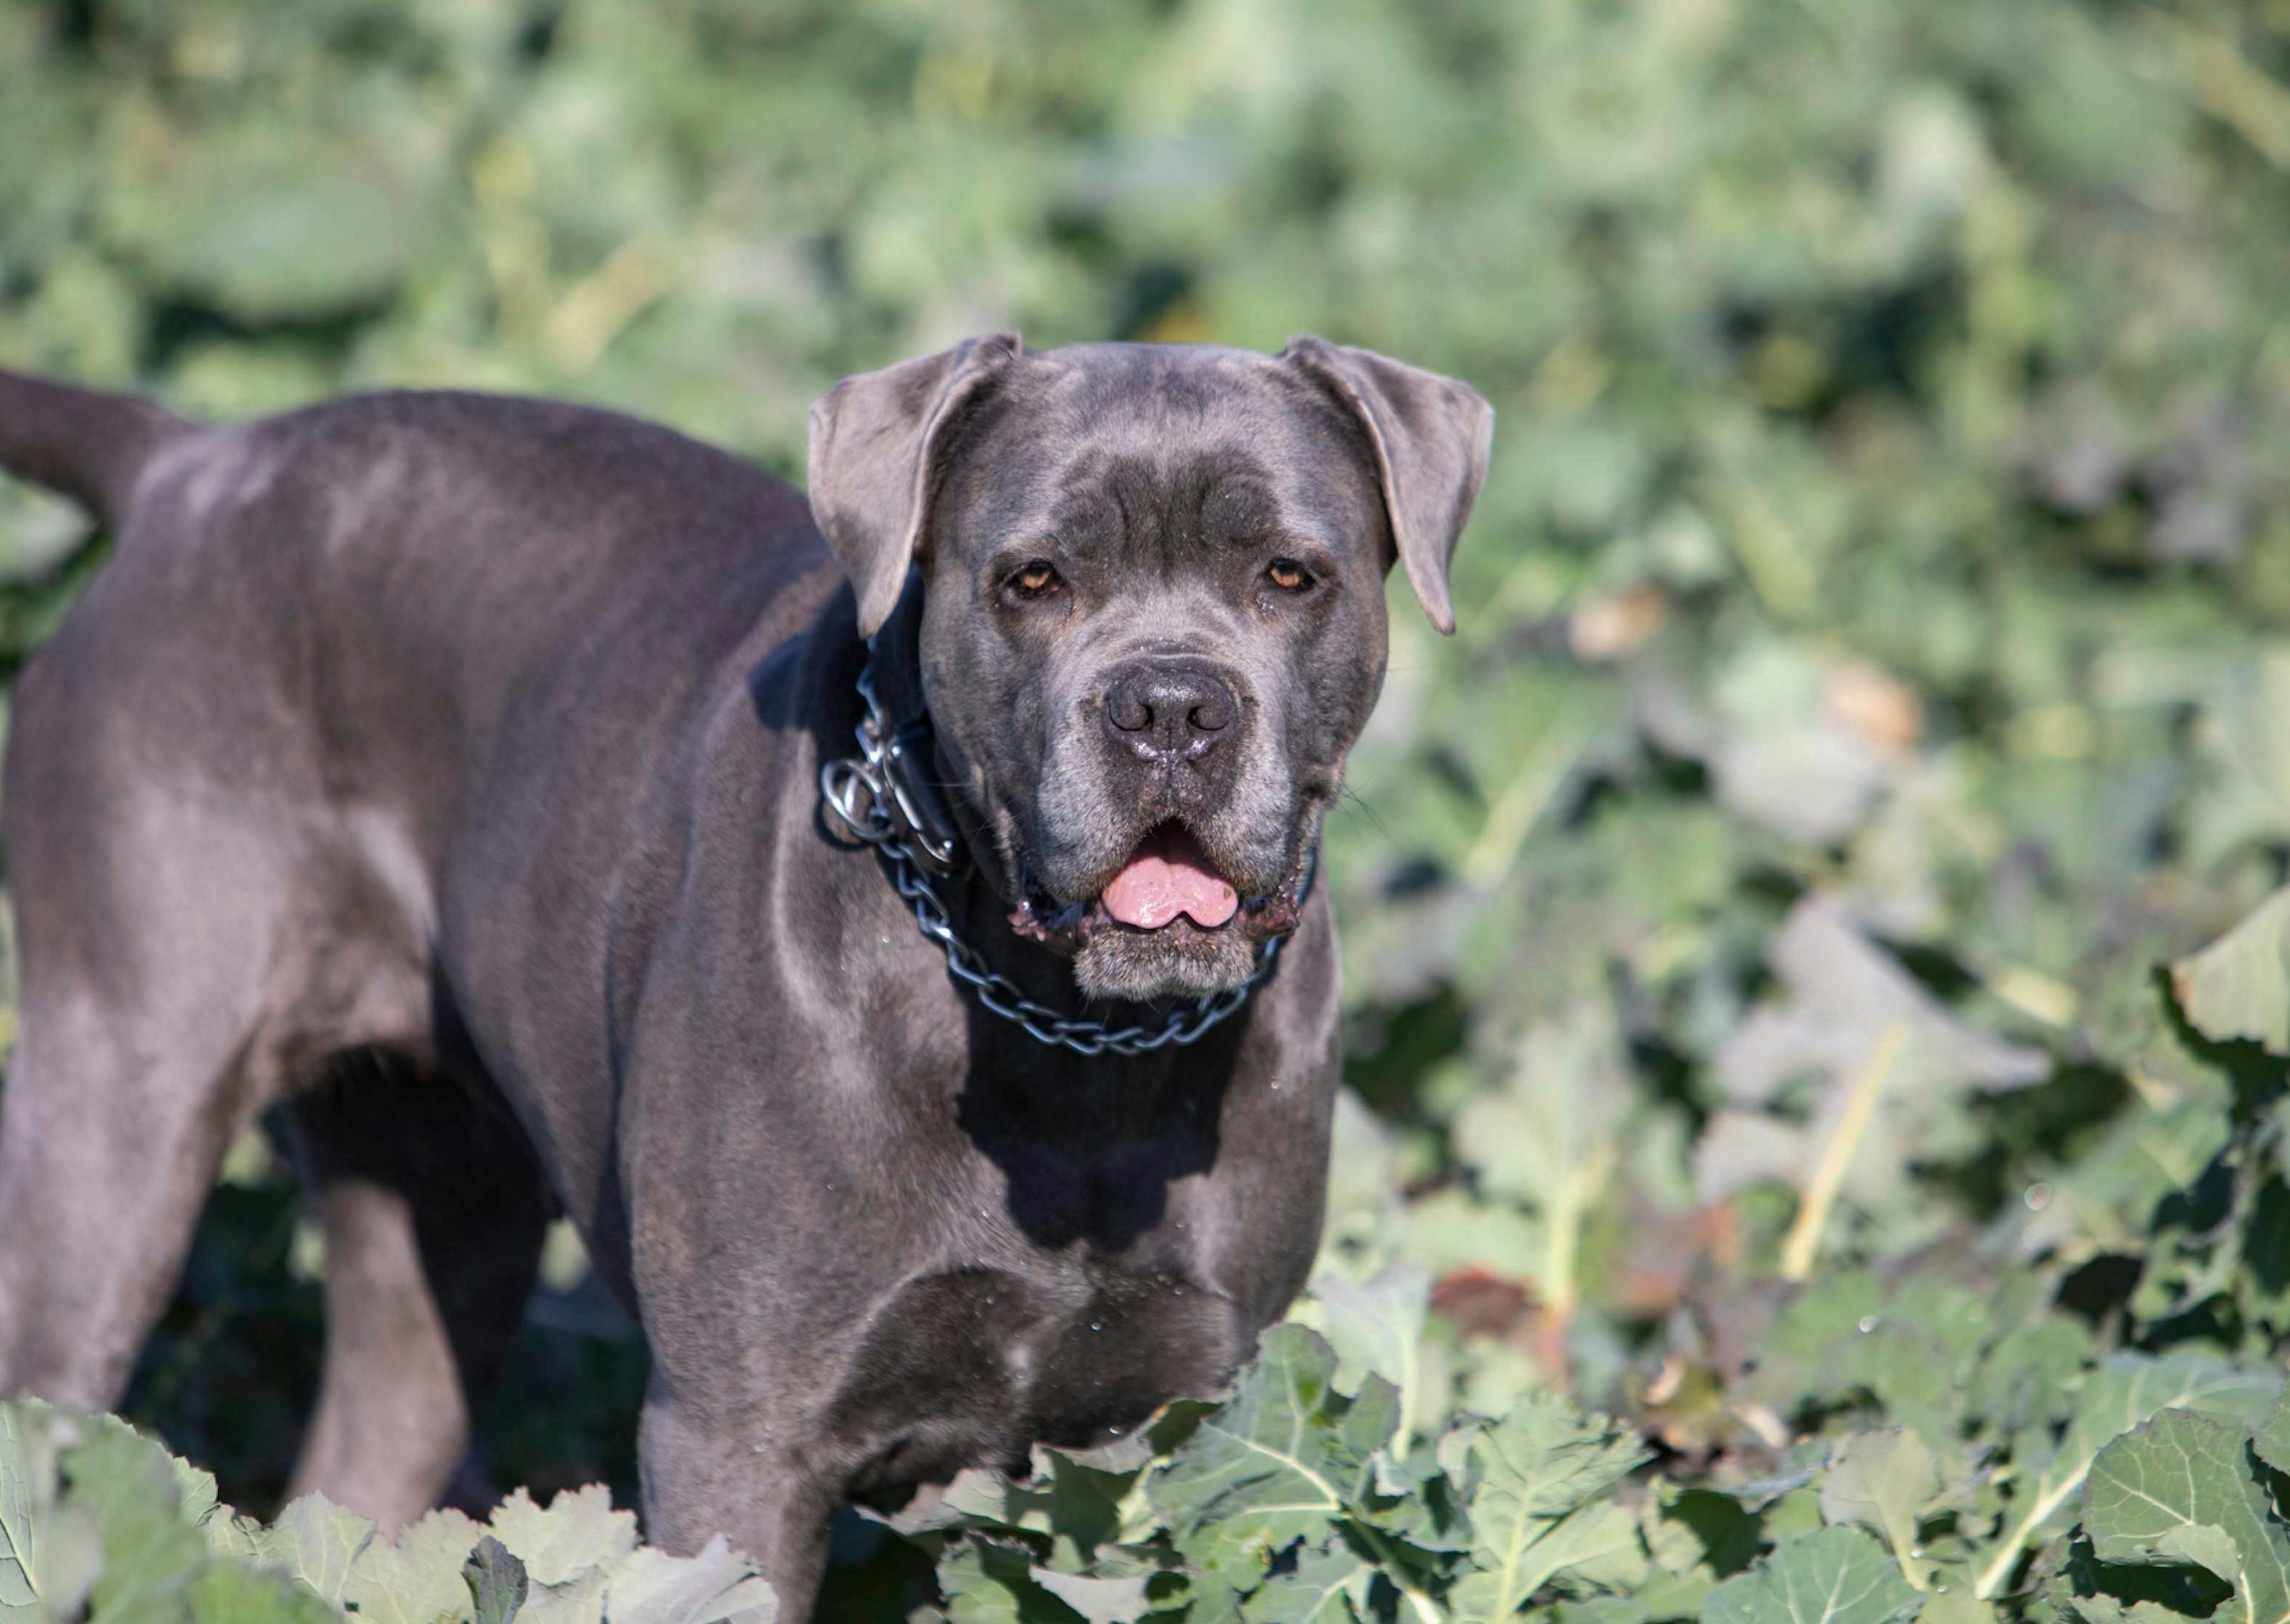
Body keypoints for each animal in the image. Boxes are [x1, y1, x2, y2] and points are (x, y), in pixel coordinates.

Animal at [0, 336, 1493, 1612]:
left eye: (1291, 576)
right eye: (1034, 580)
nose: (1173, 704)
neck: (1066, 1042)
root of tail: (190, 463)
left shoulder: (1174, 1436)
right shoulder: (738, 1436)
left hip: (439, 1200)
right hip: (115, 1117)